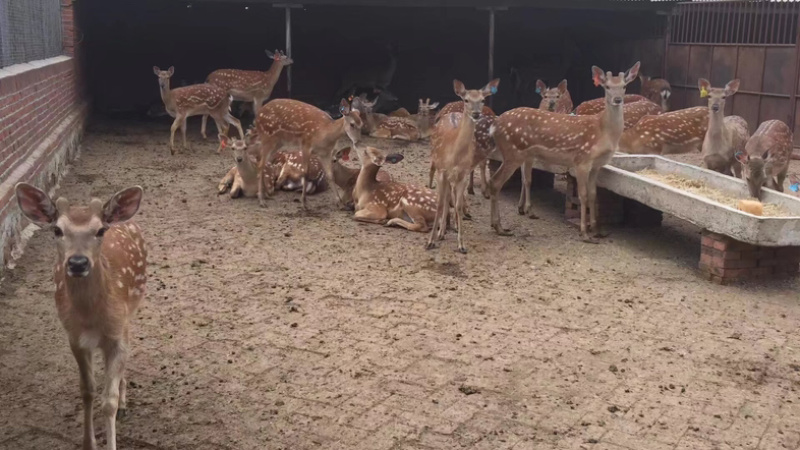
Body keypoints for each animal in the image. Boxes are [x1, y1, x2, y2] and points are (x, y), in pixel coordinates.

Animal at [14, 183, 146, 450]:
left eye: (100, 230)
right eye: (57, 229)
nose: (77, 262)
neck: (91, 319)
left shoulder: (117, 334)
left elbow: (108, 401)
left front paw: (113, 432)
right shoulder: (75, 338)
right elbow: (87, 391)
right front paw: (89, 443)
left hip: (132, 310)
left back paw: (124, 402)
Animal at [427, 79, 499, 253]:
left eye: (482, 100)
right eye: (466, 100)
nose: (476, 113)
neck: (455, 155)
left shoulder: (463, 175)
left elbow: (458, 205)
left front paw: (461, 244)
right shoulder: (442, 171)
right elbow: (439, 204)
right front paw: (430, 241)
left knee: (450, 195)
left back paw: (445, 230)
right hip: (439, 166)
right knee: (445, 197)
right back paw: (440, 232)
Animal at [488, 62, 641, 242]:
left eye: (624, 86)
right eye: (607, 86)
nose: (617, 99)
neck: (603, 132)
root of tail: (496, 124)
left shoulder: (596, 166)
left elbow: (593, 195)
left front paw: (596, 230)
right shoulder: (582, 160)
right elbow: (583, 195)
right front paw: (584, 233)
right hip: (513, 152)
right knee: (496, 181)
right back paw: (499, 227)